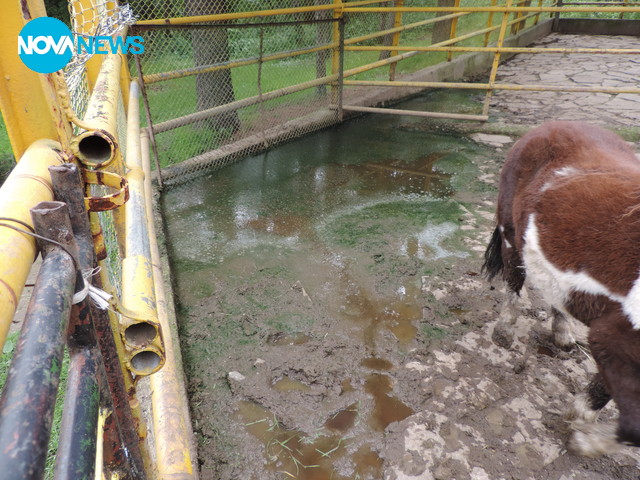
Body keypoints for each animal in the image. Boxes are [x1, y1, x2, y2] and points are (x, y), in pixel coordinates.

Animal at [482, 121, 640, 458]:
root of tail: (550, 126)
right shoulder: (613, 339)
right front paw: (582, 436)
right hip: (510, 233)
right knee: (514, 279)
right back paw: (504, 330)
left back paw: (562, 332)